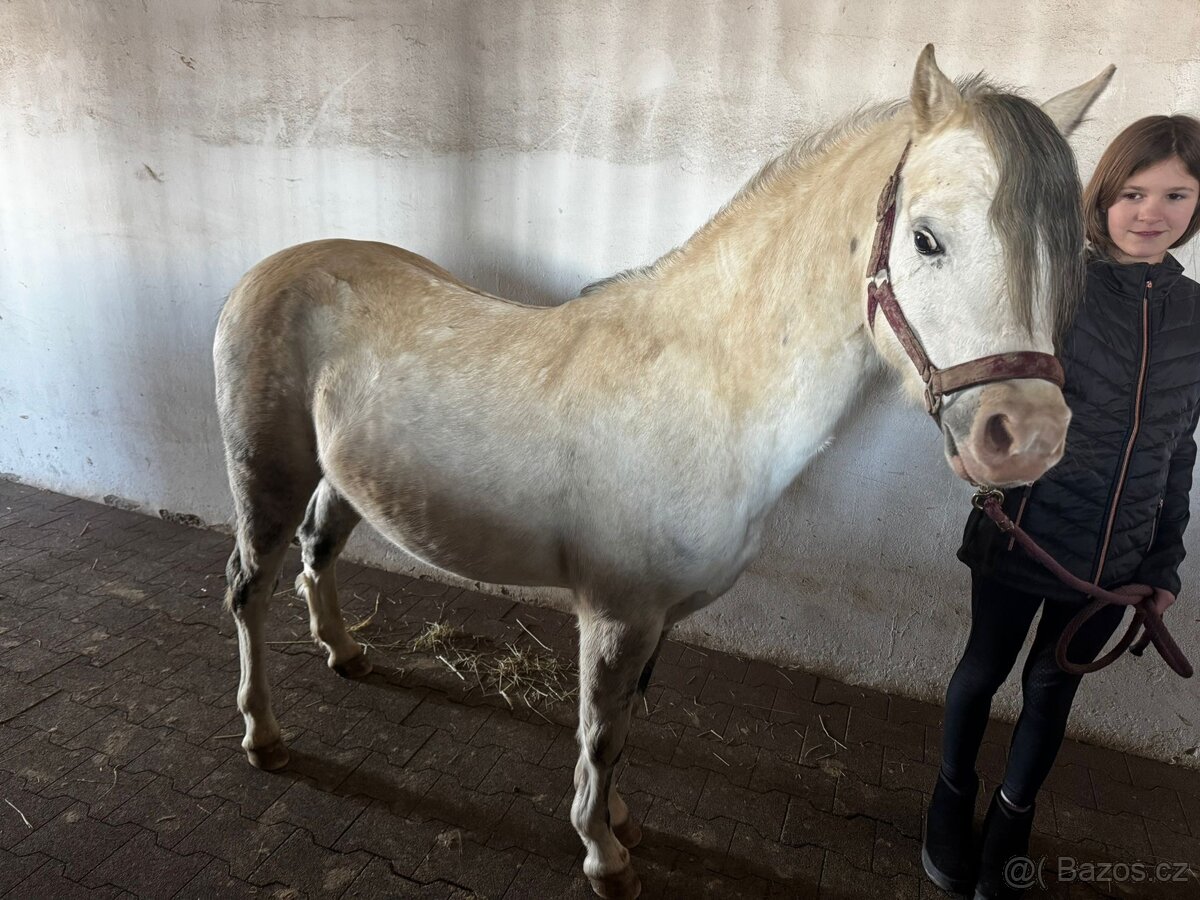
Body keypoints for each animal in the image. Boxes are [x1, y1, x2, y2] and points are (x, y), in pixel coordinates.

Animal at [213, 46, 1112, 899]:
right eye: (927, 238)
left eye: (1065, 257)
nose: (1025, 438)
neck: (704, 393)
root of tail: (272, 266)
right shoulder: (617, 614)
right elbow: (602, 732)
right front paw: (603, 856)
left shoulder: (660, 620)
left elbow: (628, 726)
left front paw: (617, 822)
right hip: (266, 477)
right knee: (249, 589)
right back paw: (265, 735)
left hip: (341, 480)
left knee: (319, 551)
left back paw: (344, 652)